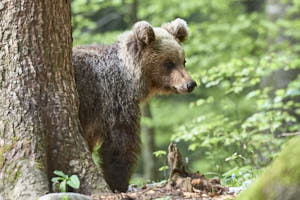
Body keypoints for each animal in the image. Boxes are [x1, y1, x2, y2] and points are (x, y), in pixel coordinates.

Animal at [72, 18, 197, 192]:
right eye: (169, 63)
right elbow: (121, 143)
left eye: (183, 61)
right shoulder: (113, 100)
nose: (190, 84)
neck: (130, 78)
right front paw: (118, 183)